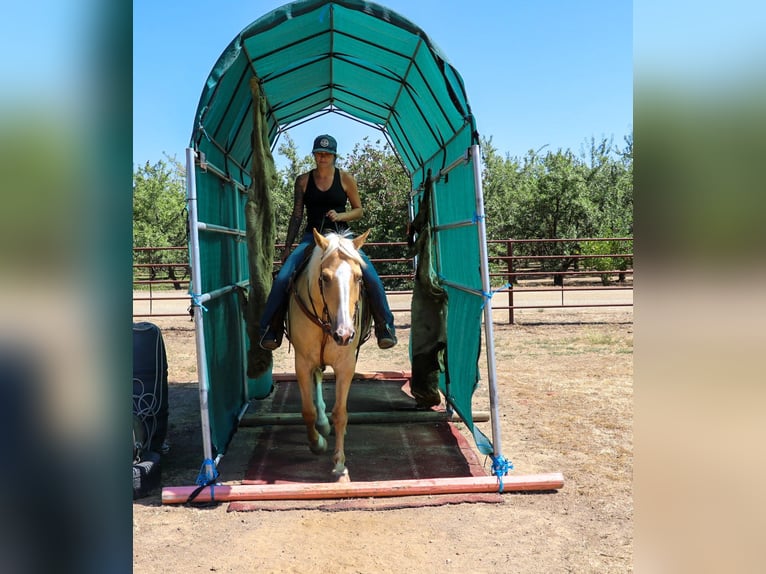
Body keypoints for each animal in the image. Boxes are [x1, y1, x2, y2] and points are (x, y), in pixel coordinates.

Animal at [286, 227, 372, 482]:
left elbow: (340, 413)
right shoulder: (302, 363)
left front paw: (340, 464)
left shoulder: (346, 365)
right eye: (324, 278)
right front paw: (318, 444)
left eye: (359, 277)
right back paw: (322, 425)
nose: (344, 334)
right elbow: (307, 411)